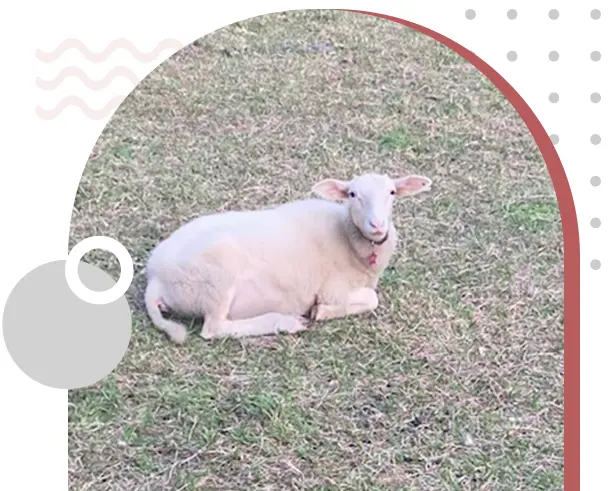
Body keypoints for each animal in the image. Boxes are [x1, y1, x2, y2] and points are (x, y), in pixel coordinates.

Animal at [144, 172, 432, 342]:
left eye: (392, 192)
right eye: (352, 194)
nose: (377, 225)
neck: (348, 238)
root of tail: (155, 279)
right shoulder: (333, 289)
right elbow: (371, 299)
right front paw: (320, 311)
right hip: (218, 277)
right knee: (214, 328)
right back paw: (284, 322)